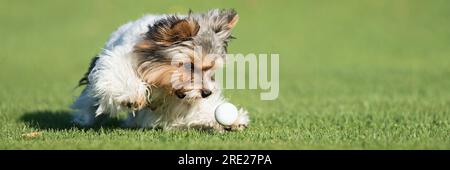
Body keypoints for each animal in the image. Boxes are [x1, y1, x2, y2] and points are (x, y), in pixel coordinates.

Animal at [72, 9, 251, 131]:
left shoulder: (181, 101)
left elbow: (196, 108)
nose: (207, 93)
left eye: (210, 69)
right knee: (90, 100)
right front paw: (132, 96)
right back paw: (85, 118)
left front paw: (233, 120)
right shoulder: (119, 60)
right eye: (190, 65)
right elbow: (121, 75)